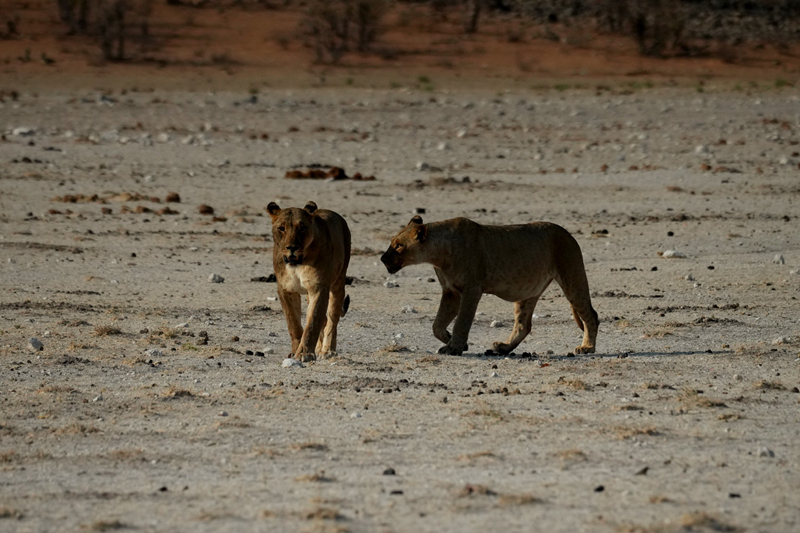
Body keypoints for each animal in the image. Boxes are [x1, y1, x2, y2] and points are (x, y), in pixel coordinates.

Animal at [266, 201, 350, 362]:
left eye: (302, 227)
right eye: (282, 228)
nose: (292, 248)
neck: (297, 263)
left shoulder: (319, 288)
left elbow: (312, 323)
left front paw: (305, 354)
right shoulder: (285, 290)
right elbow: (293, 323)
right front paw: (295, 352)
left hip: (338, 282)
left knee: (332, 319)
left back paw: (327, 350)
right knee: (324, 320)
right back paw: (318, 348)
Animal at [382, 216, 600, 358]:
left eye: (399, 245)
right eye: (391, 242)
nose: (383, 258)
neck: (438, 255)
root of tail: (568, 234)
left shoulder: (471, 289)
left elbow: (462, 321)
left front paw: (454, 347)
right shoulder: (451, 292)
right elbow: (437, 324)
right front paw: (453, 341)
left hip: (572, 276)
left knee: (591, 315)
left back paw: (587, 347)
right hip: (527, 291)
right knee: (524, 325)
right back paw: (503, 348)